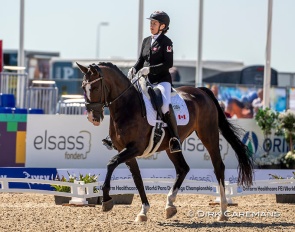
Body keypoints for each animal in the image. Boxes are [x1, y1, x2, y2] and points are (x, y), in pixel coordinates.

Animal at [77, 62, 254, 222]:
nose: (92, 118)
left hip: (208, 134)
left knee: (218, 166)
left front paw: (106, 200)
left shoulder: (135, 148)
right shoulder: (126, 151)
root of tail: (200, 90)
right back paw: (170, 205)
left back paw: (223, 211)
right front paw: (143, 212)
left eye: (95, 88)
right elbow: (137, 179)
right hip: (171, 147)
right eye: (82, 88)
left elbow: (111, 164)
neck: (127, 106)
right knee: (183, 168)